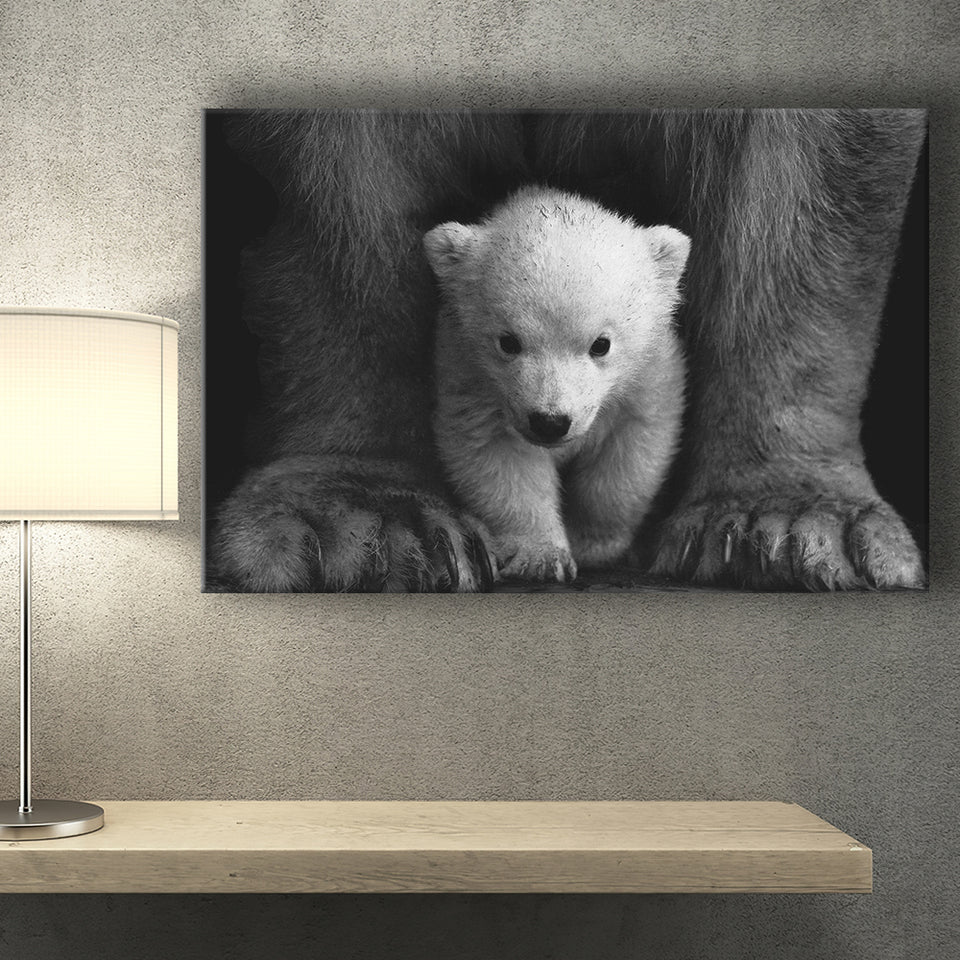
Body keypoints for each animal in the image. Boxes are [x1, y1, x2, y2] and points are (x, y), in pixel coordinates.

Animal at [424, 187, 688, 584]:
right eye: (508, 341)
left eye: (601, 344)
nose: (550, 422)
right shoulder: (471, 378)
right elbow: (499, 457)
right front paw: (542, 557)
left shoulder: (648, 377)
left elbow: (629, 456)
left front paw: (593, 545)